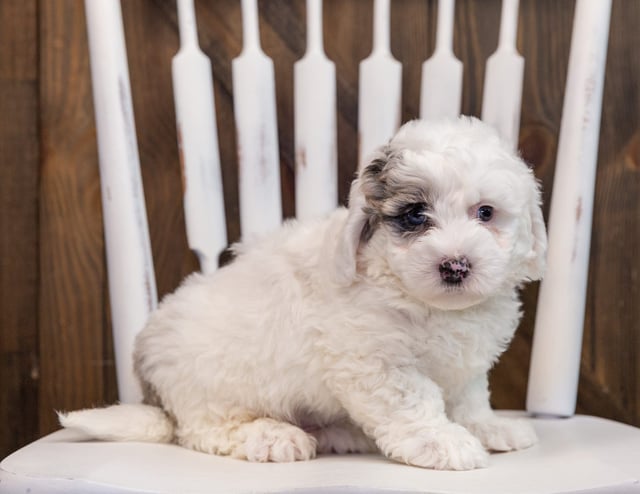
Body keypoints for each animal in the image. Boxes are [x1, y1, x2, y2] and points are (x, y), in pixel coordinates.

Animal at [62, 116, 548, 470]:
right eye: (414, 214)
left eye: (485, 213)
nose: (455, 265)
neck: (429, 303)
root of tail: (154, 392)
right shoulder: (375, 362)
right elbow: (413, 401)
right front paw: (442, 441)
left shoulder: (463, 366)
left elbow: (468, 397)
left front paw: (487, 427)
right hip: (209, 388)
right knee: (204, 430)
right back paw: (271, 436)